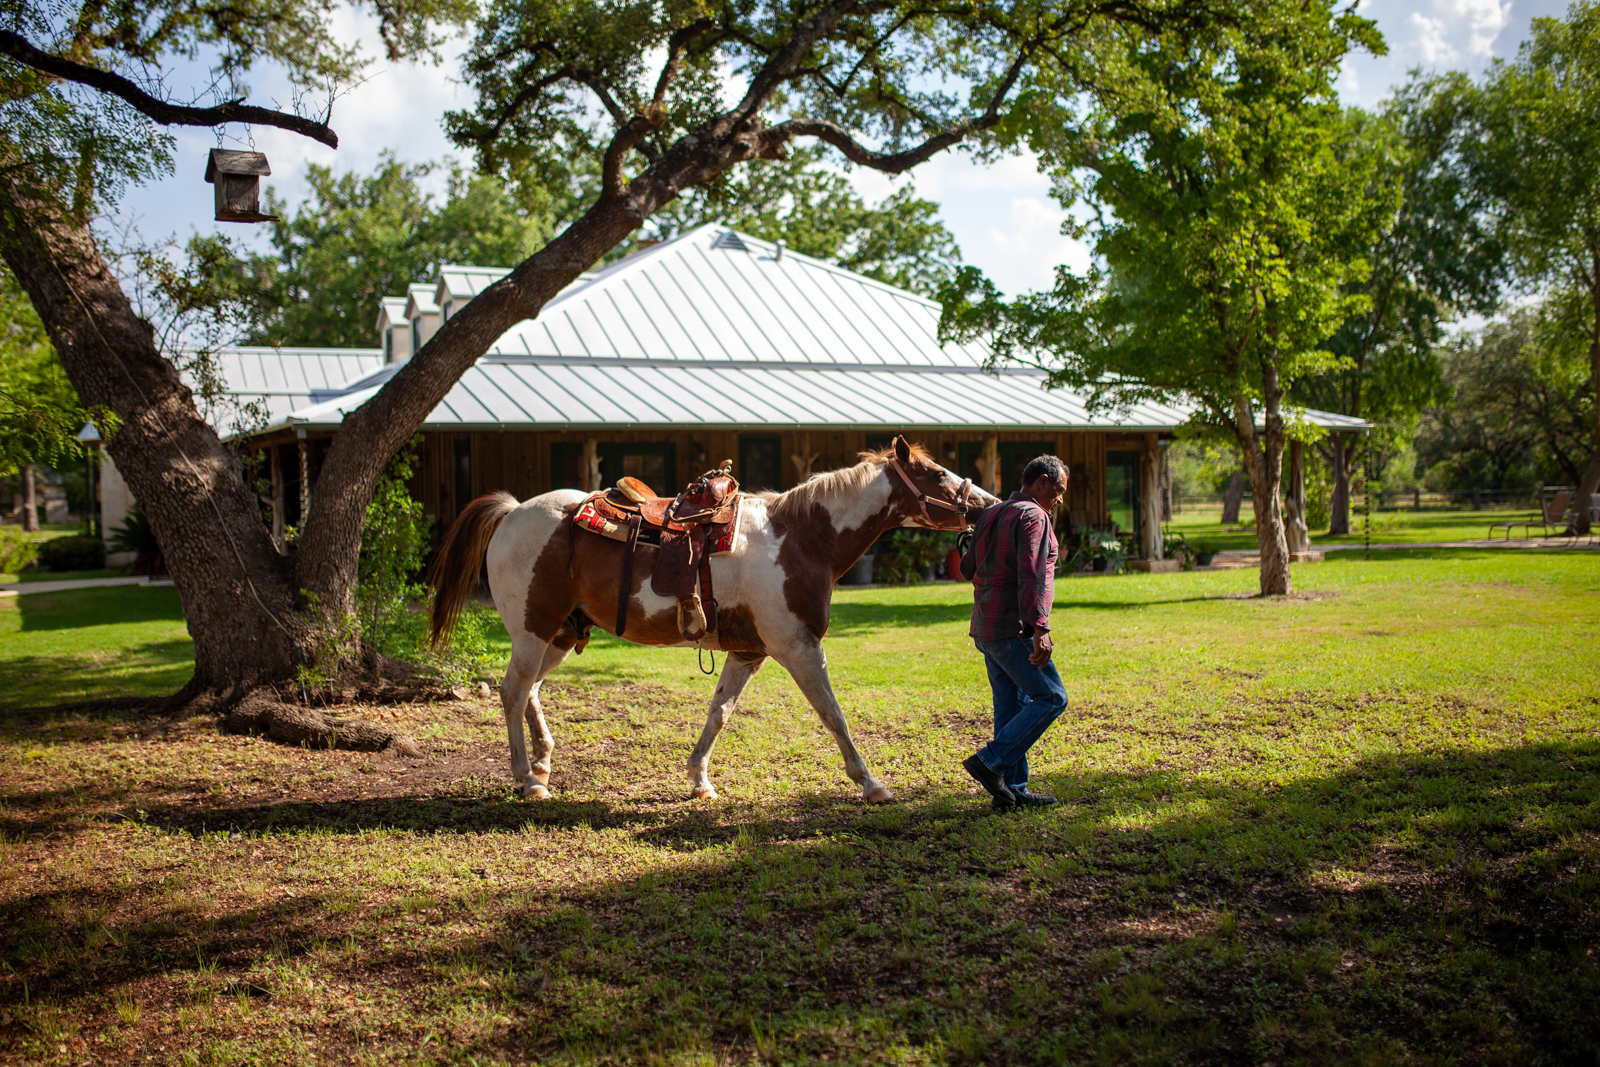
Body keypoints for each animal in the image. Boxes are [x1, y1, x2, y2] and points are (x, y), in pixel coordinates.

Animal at [427, 435, 996, 803]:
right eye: (936, 473)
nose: (988, 503)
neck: (800, 538)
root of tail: (514, 510)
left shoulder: (750, 651)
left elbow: (719, 712)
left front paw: (699, 780)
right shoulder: (798, 647)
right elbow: (833, 714)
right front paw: (872, 783)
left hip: (560, 635)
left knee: (531, 691)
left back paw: (543, 766)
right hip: (533, 631)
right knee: (513, 691)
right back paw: (527, 778)